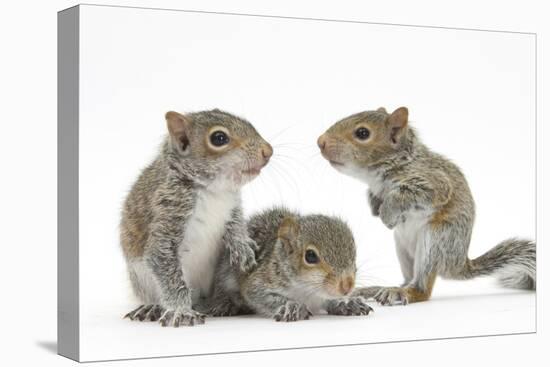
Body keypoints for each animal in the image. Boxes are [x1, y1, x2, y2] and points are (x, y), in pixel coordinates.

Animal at [122, 109, 274, 328]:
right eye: (219, 138)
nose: (267, 151)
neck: (213, 191)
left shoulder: (233, 206)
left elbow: (236, 225)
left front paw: (242, 246)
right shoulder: (168, 211)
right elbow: (163, 261)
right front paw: (180, 310)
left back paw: (225, 304)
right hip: (142, 282)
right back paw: (153, 307)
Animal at [206, 207, 376, 322]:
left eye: (353, 251)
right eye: (310, 256)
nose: (347, 286)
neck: (308, 290)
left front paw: (347, 302)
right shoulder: (258, 282)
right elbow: (259, 296)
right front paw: (292, 306)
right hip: (226, 271)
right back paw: (225, 304)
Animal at [316, 107, 536, 308]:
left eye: (362, 133)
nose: (320, 141)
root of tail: (457, 264)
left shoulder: (434, 184)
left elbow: (407, 196)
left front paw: (387, 213)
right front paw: (375, 205)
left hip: (435, 241)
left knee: (422, 290)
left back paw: (401, 293)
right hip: (403, 248)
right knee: (407, 280)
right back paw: (379, 289)